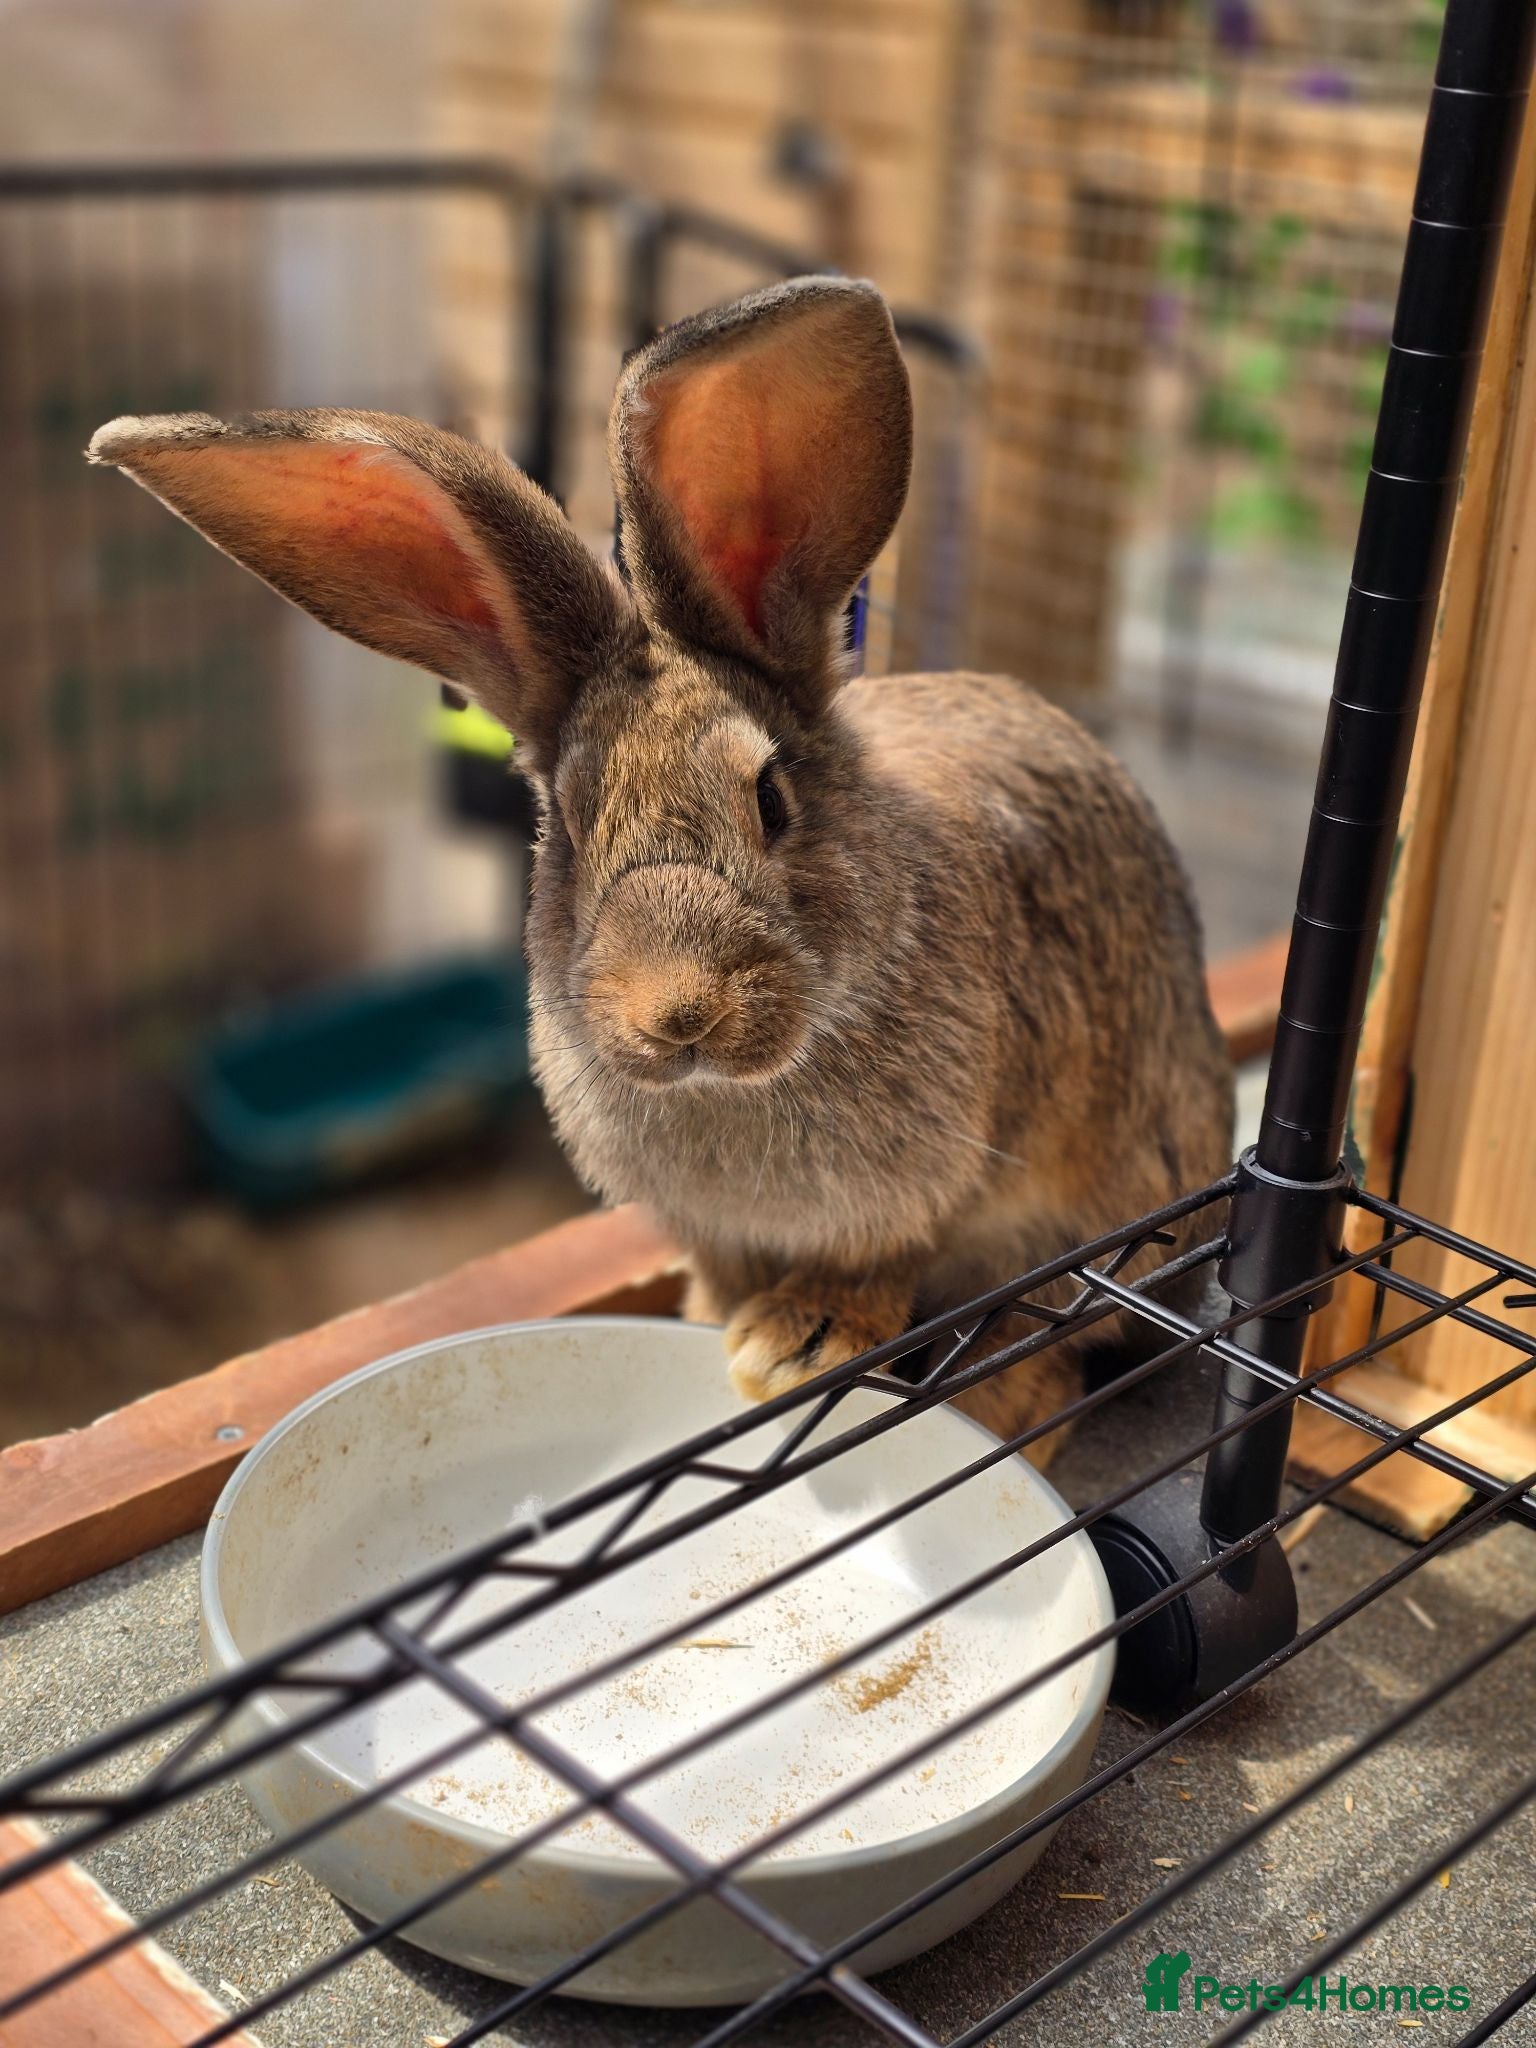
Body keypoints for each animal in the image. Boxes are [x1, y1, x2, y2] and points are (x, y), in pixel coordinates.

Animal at [88, 274, 1233, 1459]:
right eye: (566, 824)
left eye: (771, 800)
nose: (679, 1012)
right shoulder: (714, 1227)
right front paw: (715, 1329)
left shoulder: (946, 1192)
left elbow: (886, 1269)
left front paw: (799, 1342)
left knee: (1045, 1345)